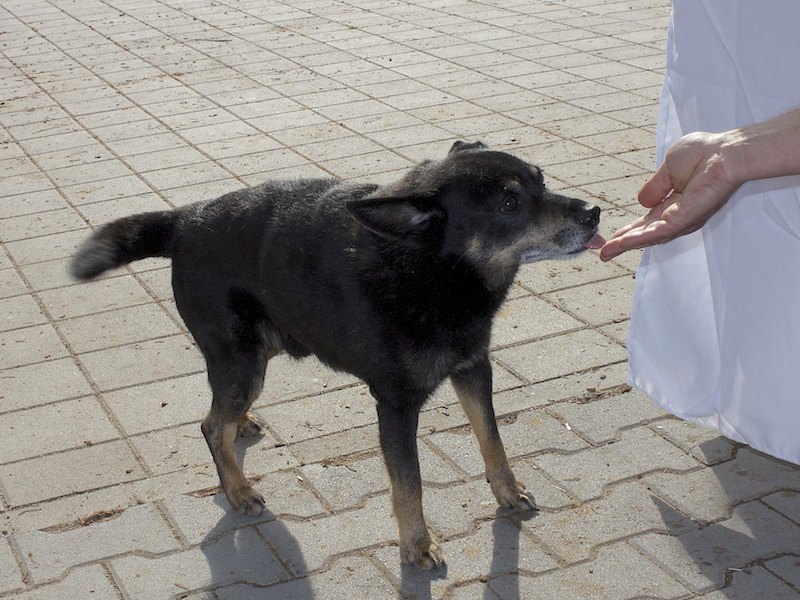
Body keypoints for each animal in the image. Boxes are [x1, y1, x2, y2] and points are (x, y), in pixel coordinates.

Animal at [70, 140, 602, 569]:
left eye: (541, 180)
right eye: (510, 203)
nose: (593, 211)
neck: (434, 269)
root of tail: (185, 219)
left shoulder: (473, 369)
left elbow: (493, 440)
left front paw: (508, 492)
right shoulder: (396, 406)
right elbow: (409, 484)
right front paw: (417, 545)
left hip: (252, 362)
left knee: (221, 417)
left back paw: (242, 427)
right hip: (243, 365)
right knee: (209, 425)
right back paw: (238, 489)